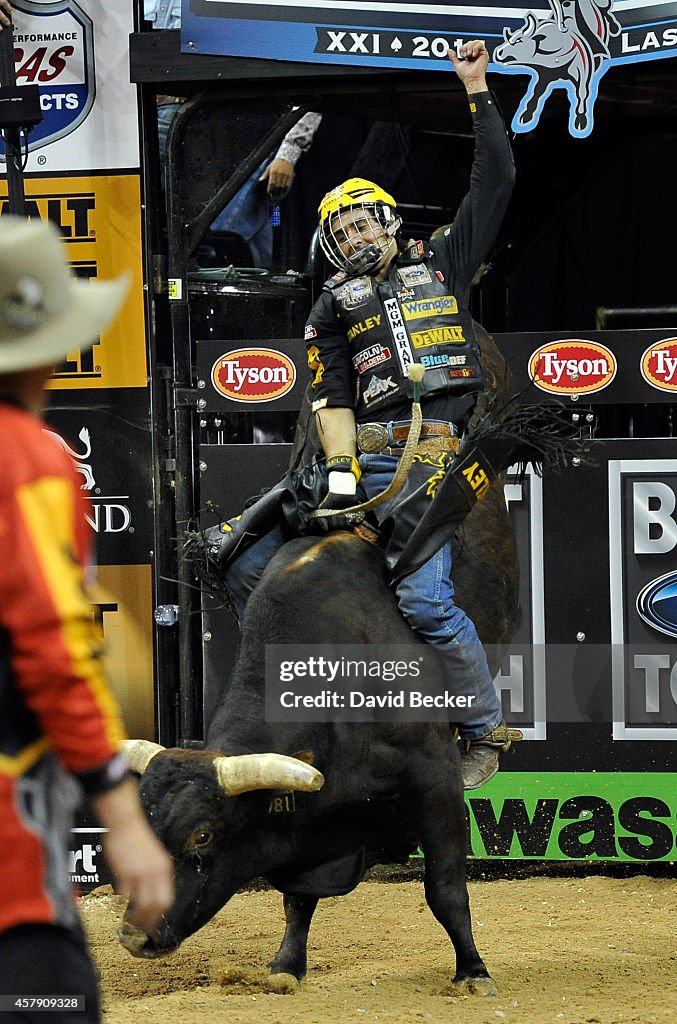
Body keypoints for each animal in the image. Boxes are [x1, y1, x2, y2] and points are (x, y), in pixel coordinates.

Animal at [120, 329, 518, 999]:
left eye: (202, 834)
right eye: (143, 829)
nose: (133, 936)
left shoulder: (434, 781)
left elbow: (445, 890)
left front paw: (473, 971)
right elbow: (296, 899)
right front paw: (286, 965)